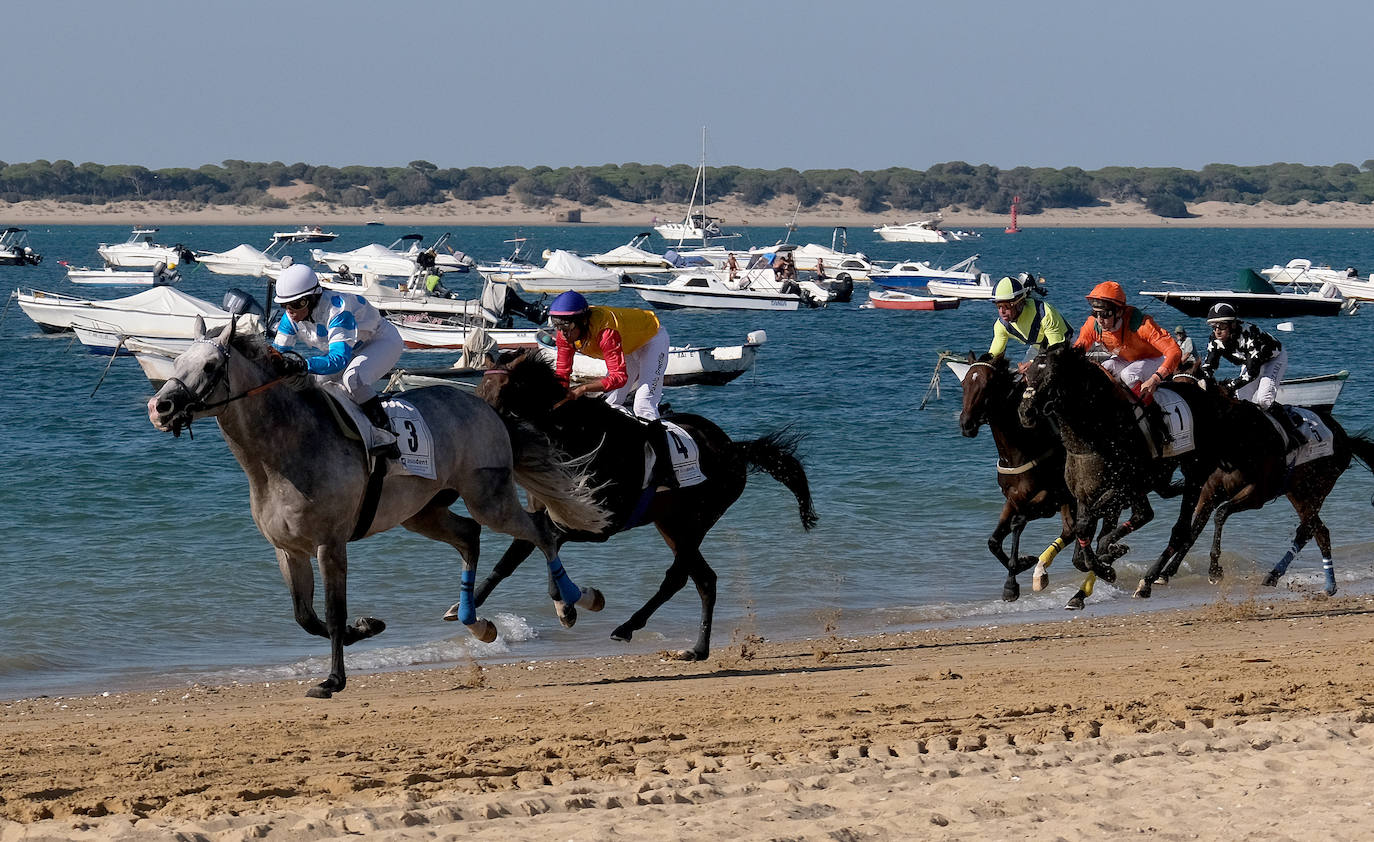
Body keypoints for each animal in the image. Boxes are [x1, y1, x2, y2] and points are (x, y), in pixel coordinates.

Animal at [143, 315, 607, 695]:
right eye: (176, 361)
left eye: (210, 366)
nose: (159, 407)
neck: (282, 455)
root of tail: (488, 409)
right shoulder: (287, 550)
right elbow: (304, 616)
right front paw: (367, 626)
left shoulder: (330, 544)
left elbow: (332, 612)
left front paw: (333, 679)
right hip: (422, 512)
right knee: (469, 537)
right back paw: (477, 623)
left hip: (488, 497)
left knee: (538, 531)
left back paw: (572, 602)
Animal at [472, 346, 813, 656]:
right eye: (478, 388)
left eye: (502, 389)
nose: (480, 429)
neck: (579, 439)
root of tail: (735, 448)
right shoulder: (546, 515)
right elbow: (508, 562)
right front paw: (472, 609)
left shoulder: (601, 525)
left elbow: (551, 551)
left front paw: (572, 605)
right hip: (671, 523)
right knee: (705, 579)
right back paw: (697, 648)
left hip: (698, 519)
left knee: (678, 577)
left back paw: (628, 628)